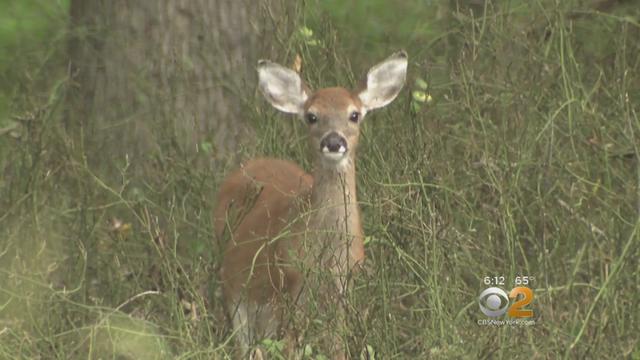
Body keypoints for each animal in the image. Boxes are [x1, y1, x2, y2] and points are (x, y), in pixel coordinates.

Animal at [214, 51, 404, 360]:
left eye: (354, 114)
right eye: (312, 116)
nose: (334, 141)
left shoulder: (344, 281)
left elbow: (337, 342)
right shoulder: (292, 277)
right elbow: (292, 344)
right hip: (236, 283)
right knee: (243, 339)